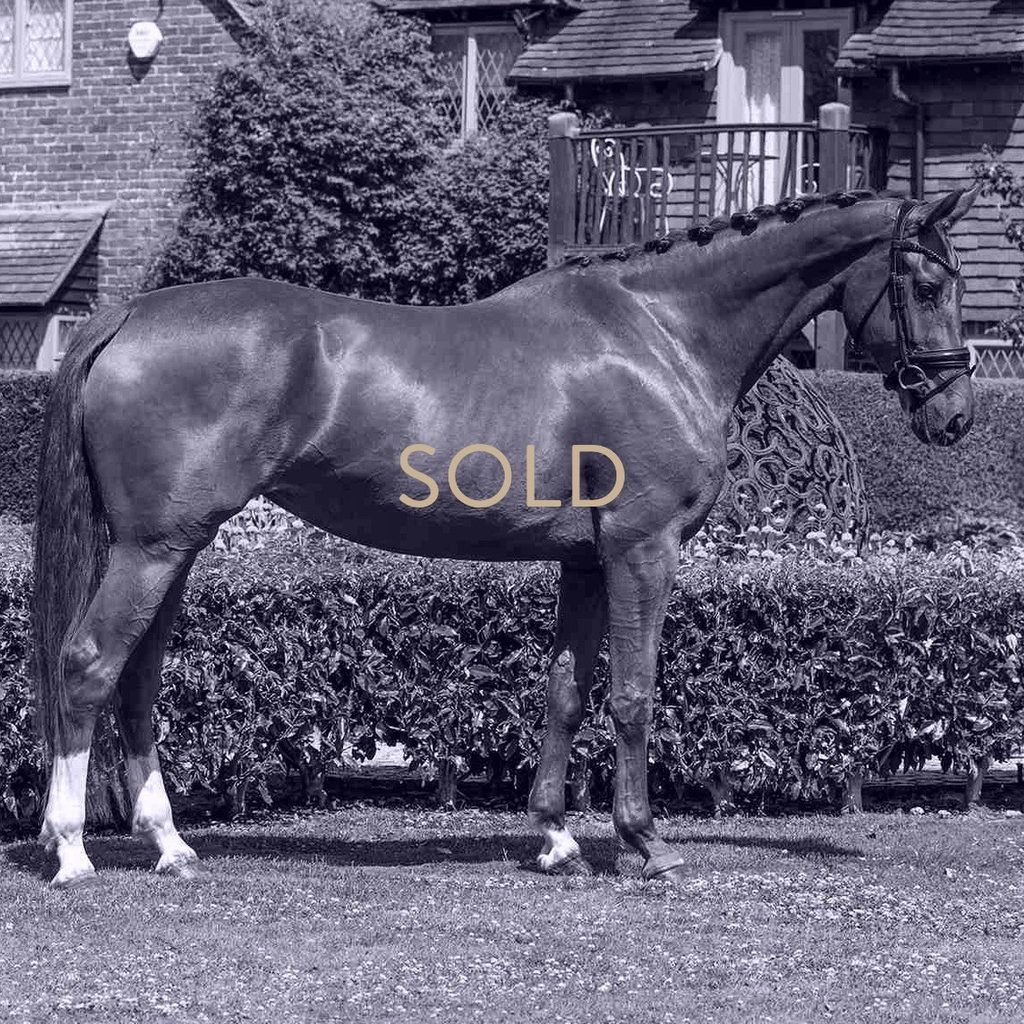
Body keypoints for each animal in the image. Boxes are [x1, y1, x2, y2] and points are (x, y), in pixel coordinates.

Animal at [32, 186, 979, 888]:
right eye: (929, 285)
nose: (955, 417)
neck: (661, 332)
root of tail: (130, 315)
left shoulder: (584, 563)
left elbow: (564, 691)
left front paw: (555, 839)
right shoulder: (642, 551)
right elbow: (632, 695)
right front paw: (644, 844)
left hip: (174, 549)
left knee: (138, 681)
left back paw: (169, 844)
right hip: (152, 550)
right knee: (88, 666)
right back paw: (72, 849)